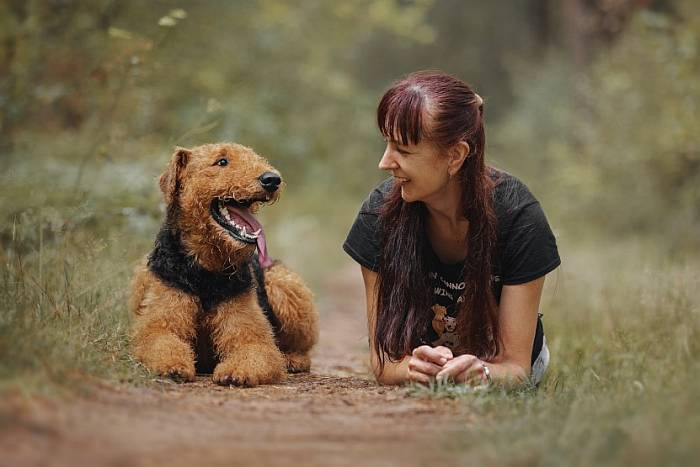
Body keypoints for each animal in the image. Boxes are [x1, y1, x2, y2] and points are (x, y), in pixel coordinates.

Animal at [127, 143, 318, 388]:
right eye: (222, 161)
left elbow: (254, 351)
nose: (272, 179)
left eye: (255, 157)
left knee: (302, 347)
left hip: (283, 286)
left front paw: (236, 372)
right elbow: (160, 341)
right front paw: (174, 367)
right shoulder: (160, 325)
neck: (206, 269)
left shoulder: (250, 337)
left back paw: (293, 360)